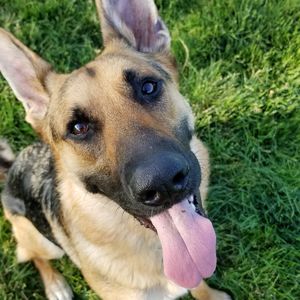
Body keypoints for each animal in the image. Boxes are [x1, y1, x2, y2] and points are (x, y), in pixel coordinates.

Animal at [0, 0, 232, 300]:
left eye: (148, 87)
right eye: (78, 128)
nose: (163, 183)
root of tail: (11, 168)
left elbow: (199, 282)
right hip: (41, 239)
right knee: (35, 256)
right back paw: (55, 284)